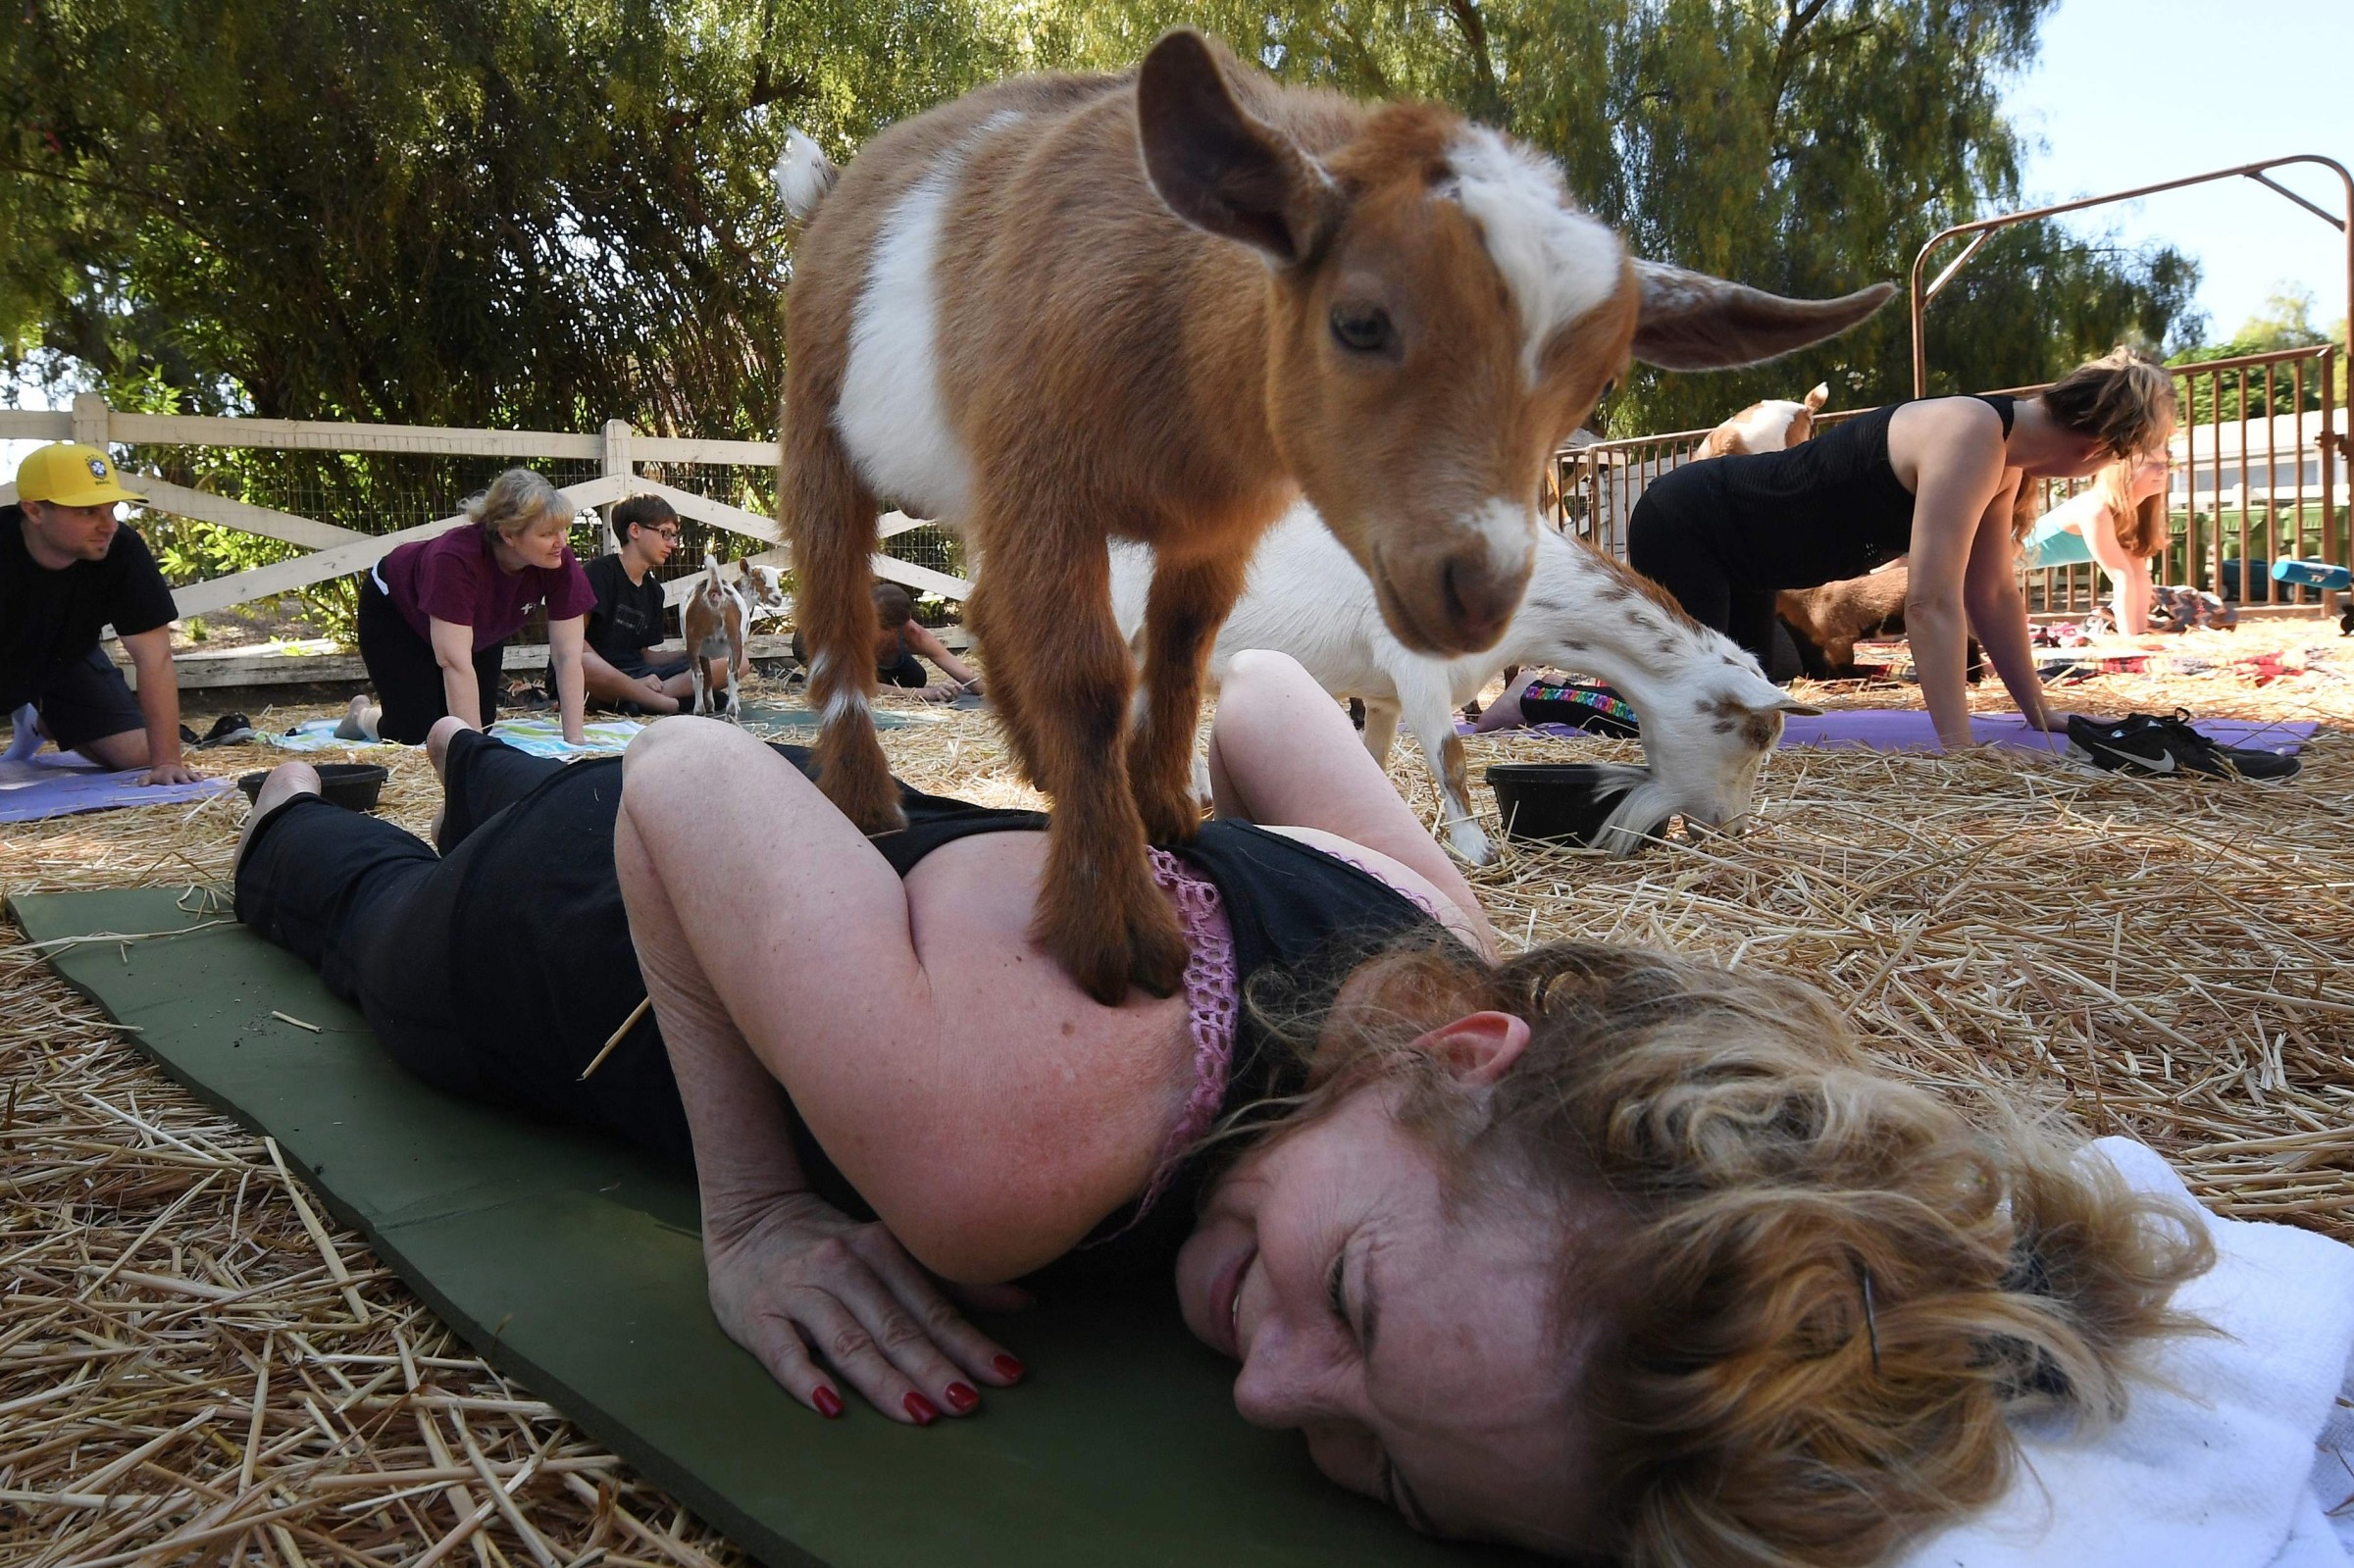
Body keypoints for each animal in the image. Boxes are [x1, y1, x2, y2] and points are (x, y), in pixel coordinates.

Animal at [1110, 506, 1808, 861]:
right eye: (1753, 735)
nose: (1730, 828)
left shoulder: (1385, 697)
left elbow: (1372, 761)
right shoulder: (1417, 668)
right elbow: (1451, 756)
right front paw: (1476, 848)